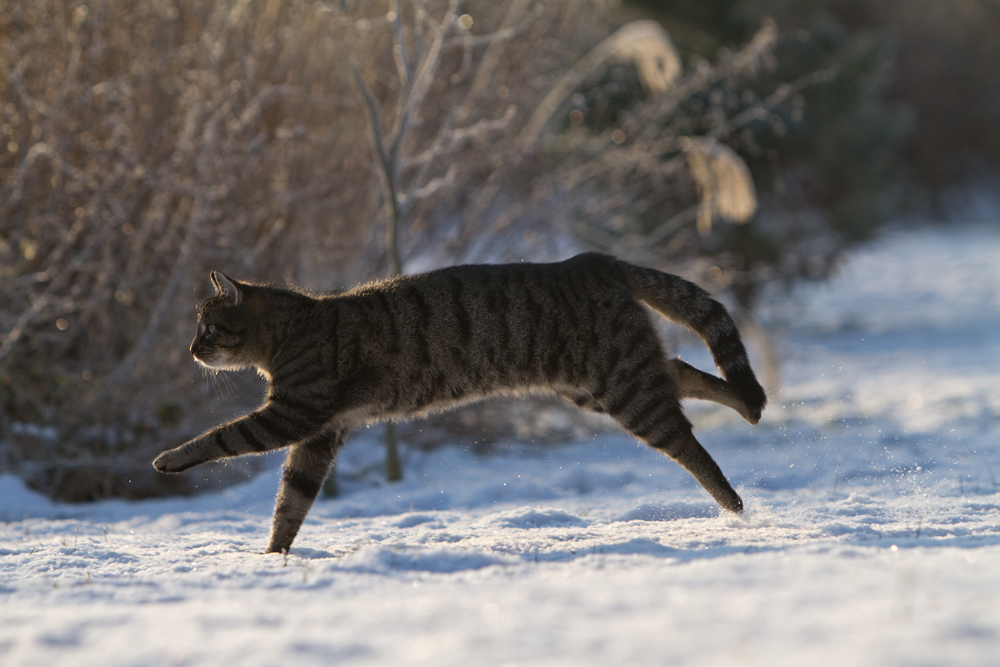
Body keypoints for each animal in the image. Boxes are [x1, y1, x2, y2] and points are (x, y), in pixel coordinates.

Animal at [154, 254, 764, 552]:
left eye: (209, 328)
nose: (191, 349)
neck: (293, 329)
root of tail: (590, 260)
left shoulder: (294, 414)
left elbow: (223, 436)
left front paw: (169, 459)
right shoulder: (320, 433)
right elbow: (291, 503)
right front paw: (273, 561)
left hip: (621, 385)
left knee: (689, 444)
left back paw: (733, 506)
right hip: (597, 382)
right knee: (687, 372)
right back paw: (749, 405)